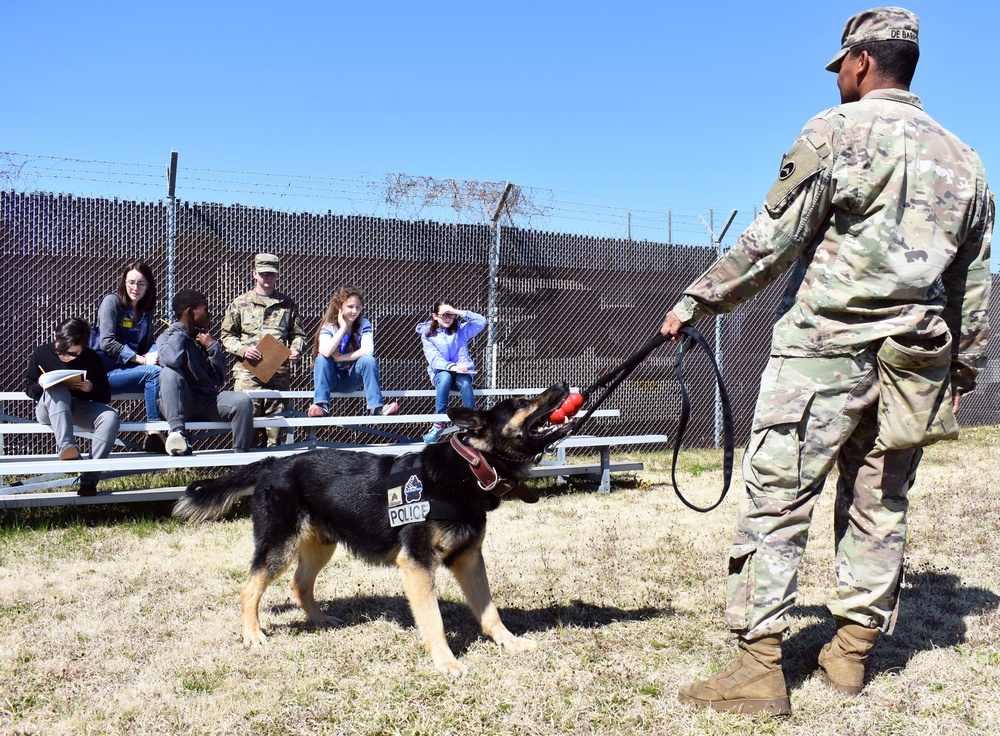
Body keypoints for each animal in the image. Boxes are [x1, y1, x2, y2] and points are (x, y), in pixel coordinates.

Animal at [174, 382, 572, 676]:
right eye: (523, 402)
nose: (564, 385)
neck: (472, 467)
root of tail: (273, 462)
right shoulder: (417, 565)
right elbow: (434, 620)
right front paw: (445, 662)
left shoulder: (469, 558)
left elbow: (489, 610)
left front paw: (509, 642)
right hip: (279, 546)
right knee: (248, 588)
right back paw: (252, 635)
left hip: (321, 546)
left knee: (299, 584)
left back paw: (321, 619)